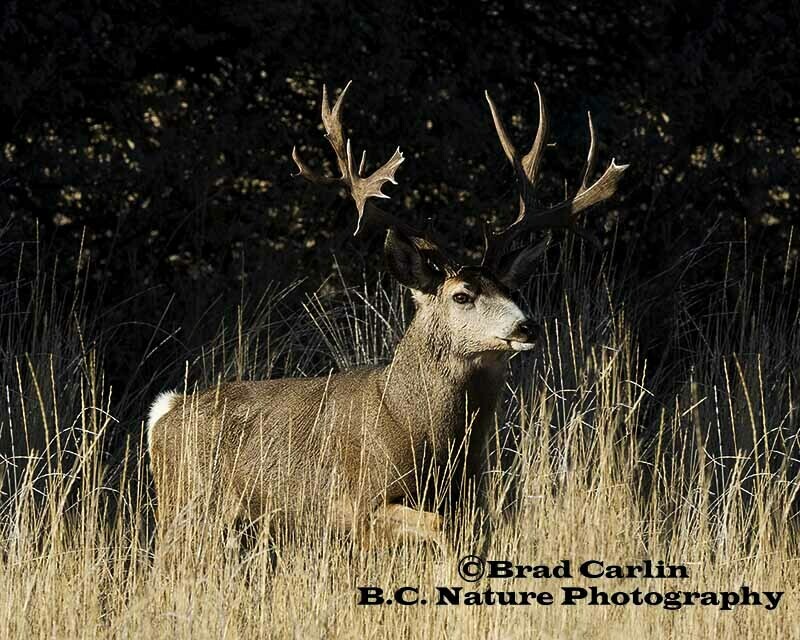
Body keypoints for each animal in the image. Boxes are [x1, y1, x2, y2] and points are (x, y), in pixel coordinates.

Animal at [146, 81, 628, 548]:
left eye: (512, 289)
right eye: (462, 295)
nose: (526, 326)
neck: (425, 432)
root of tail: (163, 414)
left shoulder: (474, 499)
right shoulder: (361, 504)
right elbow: (439, 526)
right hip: (189, 506)